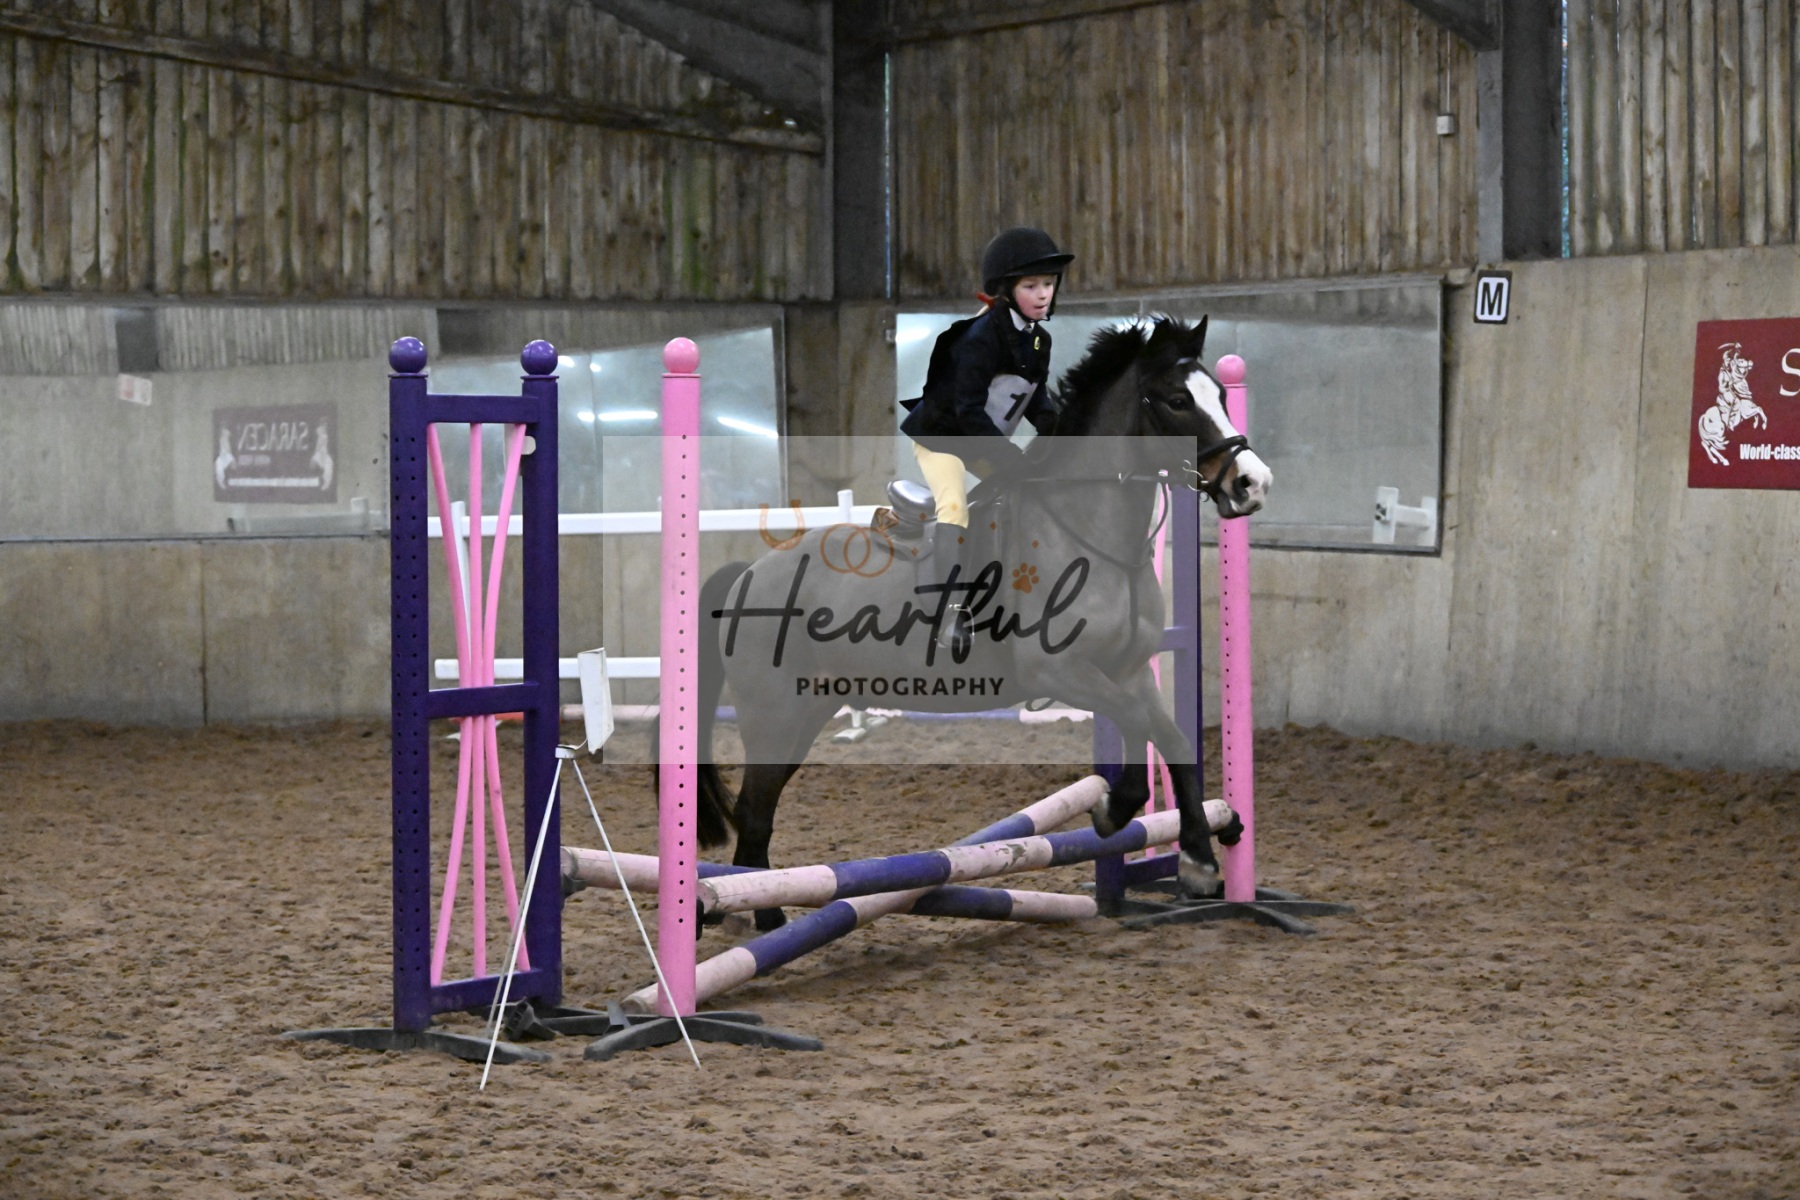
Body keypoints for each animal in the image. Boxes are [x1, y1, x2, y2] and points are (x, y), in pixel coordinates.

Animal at [681, 315, 1272, 931]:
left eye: (1221, 395)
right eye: (1179, 400)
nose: (1252, 483)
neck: (1093, 533)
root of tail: (751, 572)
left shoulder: (1129, 670)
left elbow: (1172, 739)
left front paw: (1199, 862)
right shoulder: (1060, 673)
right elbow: (1135, 731)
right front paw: (1112, 813)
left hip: (806, 712)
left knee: (759, 811)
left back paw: (761, 914)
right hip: (773, 715)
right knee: (754, 810)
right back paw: (763, 920)